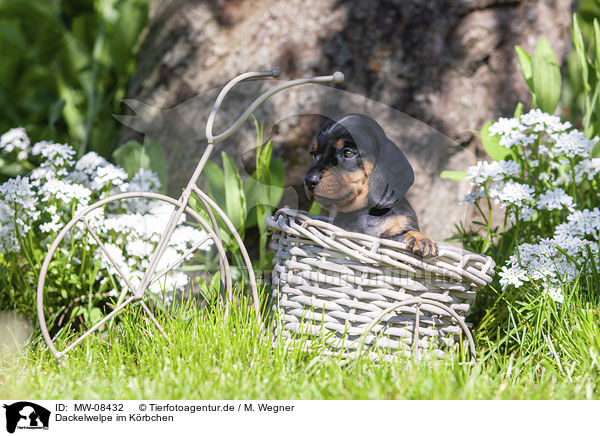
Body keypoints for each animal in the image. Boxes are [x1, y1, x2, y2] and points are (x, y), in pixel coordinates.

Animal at [304, 114, 436, 258]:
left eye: (348, 153)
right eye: (314, 154)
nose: (309, 181)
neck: (364, 211)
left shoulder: (401, 222)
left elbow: (404, 232)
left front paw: (421, 238)